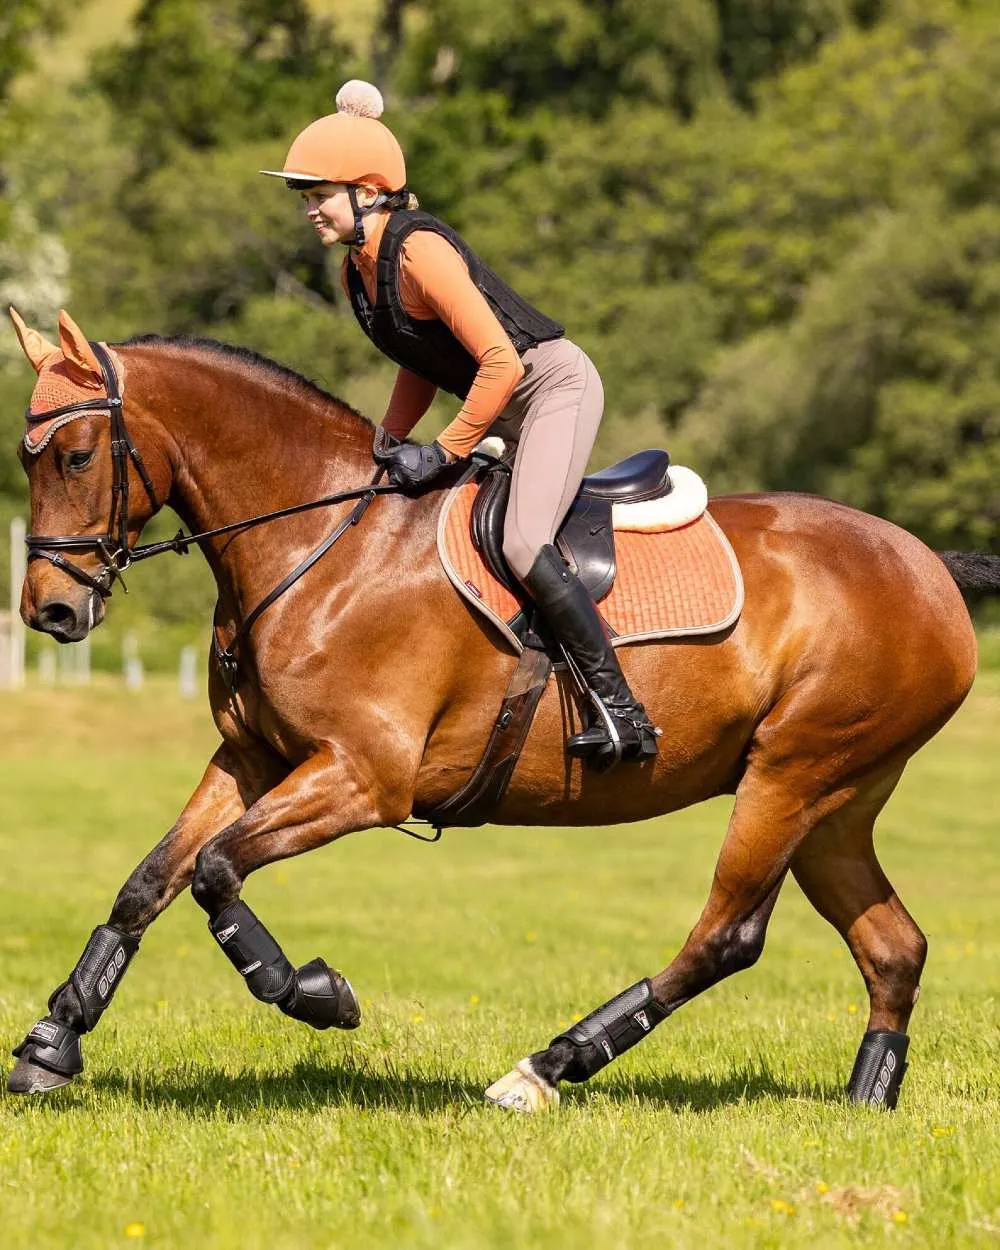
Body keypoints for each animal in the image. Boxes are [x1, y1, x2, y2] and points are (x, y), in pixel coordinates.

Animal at [3, 307, 995, 1110]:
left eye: (78, 456)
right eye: (27, 458)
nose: (50, 611)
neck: (321, 541)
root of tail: (929, 567)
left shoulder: (364, 779)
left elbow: (214, 872)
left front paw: (317, 993)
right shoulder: (254, 760)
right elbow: (151, 880)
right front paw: (53, 1041)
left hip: (792, 777)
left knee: (727, 936)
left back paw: (546, 1068)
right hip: (837, 803)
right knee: (894, 946)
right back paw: (868, 1096)